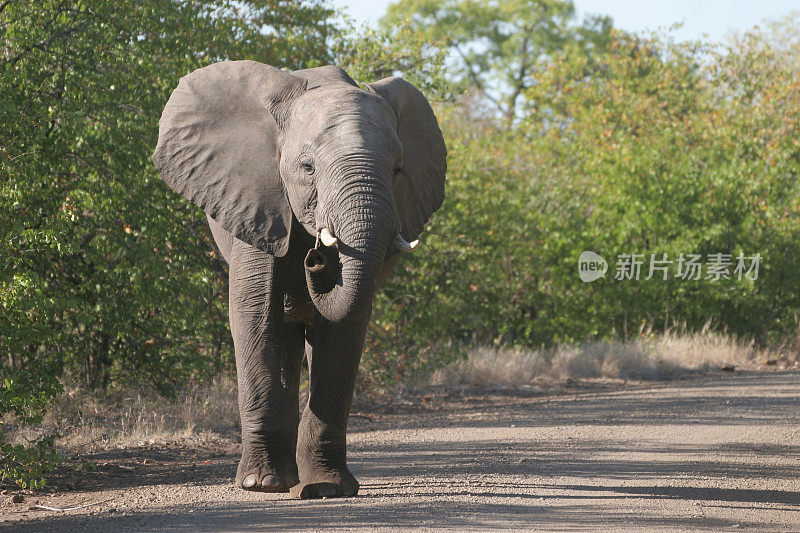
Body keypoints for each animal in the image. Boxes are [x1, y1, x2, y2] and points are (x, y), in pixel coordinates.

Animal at [153, 62, 446, 498]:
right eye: (307, 167)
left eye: (397, 170)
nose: (317, 258)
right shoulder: (255, 204)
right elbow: (255, 315)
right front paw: (261, 484)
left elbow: (343, 331)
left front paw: (328, 488)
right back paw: (279, 480)